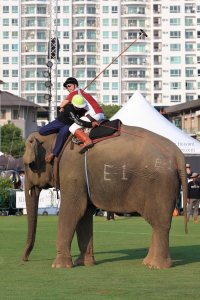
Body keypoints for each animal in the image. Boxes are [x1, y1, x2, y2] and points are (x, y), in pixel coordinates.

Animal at [22, 124, 188, 270]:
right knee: (156, 223)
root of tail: (178, 154)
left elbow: (72, 210)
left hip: (160, 184)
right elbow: (84, 213)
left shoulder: (71, 171)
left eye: (28, 165)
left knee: (160, 223)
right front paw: (84, 263)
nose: (25, 259)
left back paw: (158, 266)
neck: (58, 138)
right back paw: (147, 262)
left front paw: (59, 265)